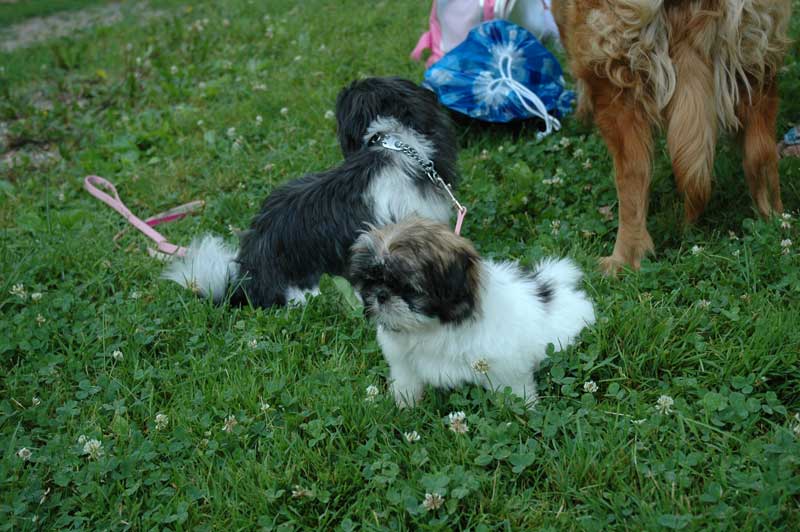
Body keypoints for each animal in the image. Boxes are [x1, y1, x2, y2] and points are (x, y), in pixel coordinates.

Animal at [350, 218, 592, 410]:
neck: (433, 328)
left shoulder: (505, 365)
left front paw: (525, 410)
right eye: (371, 281)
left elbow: (515, 389)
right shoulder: (403, 362)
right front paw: (405, 405)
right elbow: (407, 383)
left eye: (407, 288)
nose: (381, 295)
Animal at [552, 0, 792, 274]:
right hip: (755, 59)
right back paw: (775, 223)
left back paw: (621, 261)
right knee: (761, 156)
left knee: (632, 178)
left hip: (614, 76)